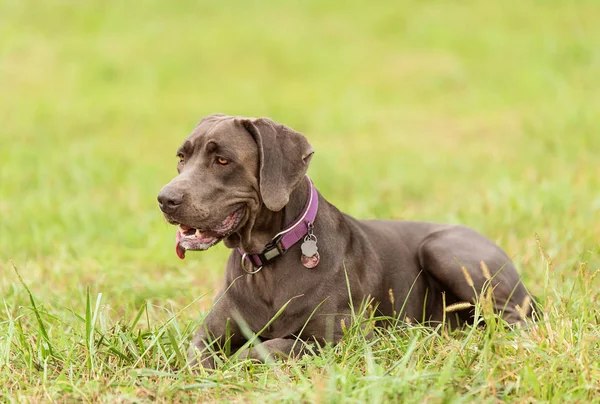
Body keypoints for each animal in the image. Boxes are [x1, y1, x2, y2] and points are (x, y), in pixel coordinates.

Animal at [158, 114, 536, 370]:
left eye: (222, 160)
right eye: (181, 158)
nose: (165, 199)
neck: (268, 260)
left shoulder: (340, 338)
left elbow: (272, 346)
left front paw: (239, 359)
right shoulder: (208, 336)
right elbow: (197, 357)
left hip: (444, 250)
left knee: (514, 320)